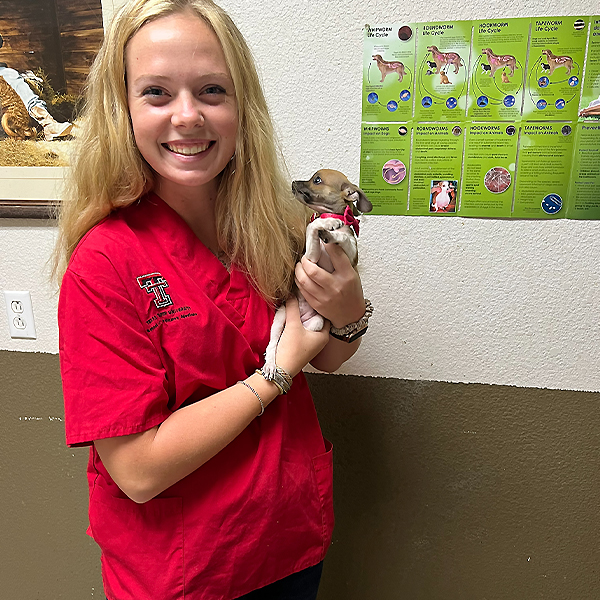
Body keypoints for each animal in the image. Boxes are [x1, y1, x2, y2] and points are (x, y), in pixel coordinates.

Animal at [264, 169, 372, 376]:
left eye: (317, 180)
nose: (293, 182)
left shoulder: (350, 255)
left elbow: (342, 238)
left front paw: (332, 231)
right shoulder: (310, 258)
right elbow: (311, 226)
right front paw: (328, 223)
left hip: (315, 323)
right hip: (280, 316)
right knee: (273, 343)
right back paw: (270, 365)